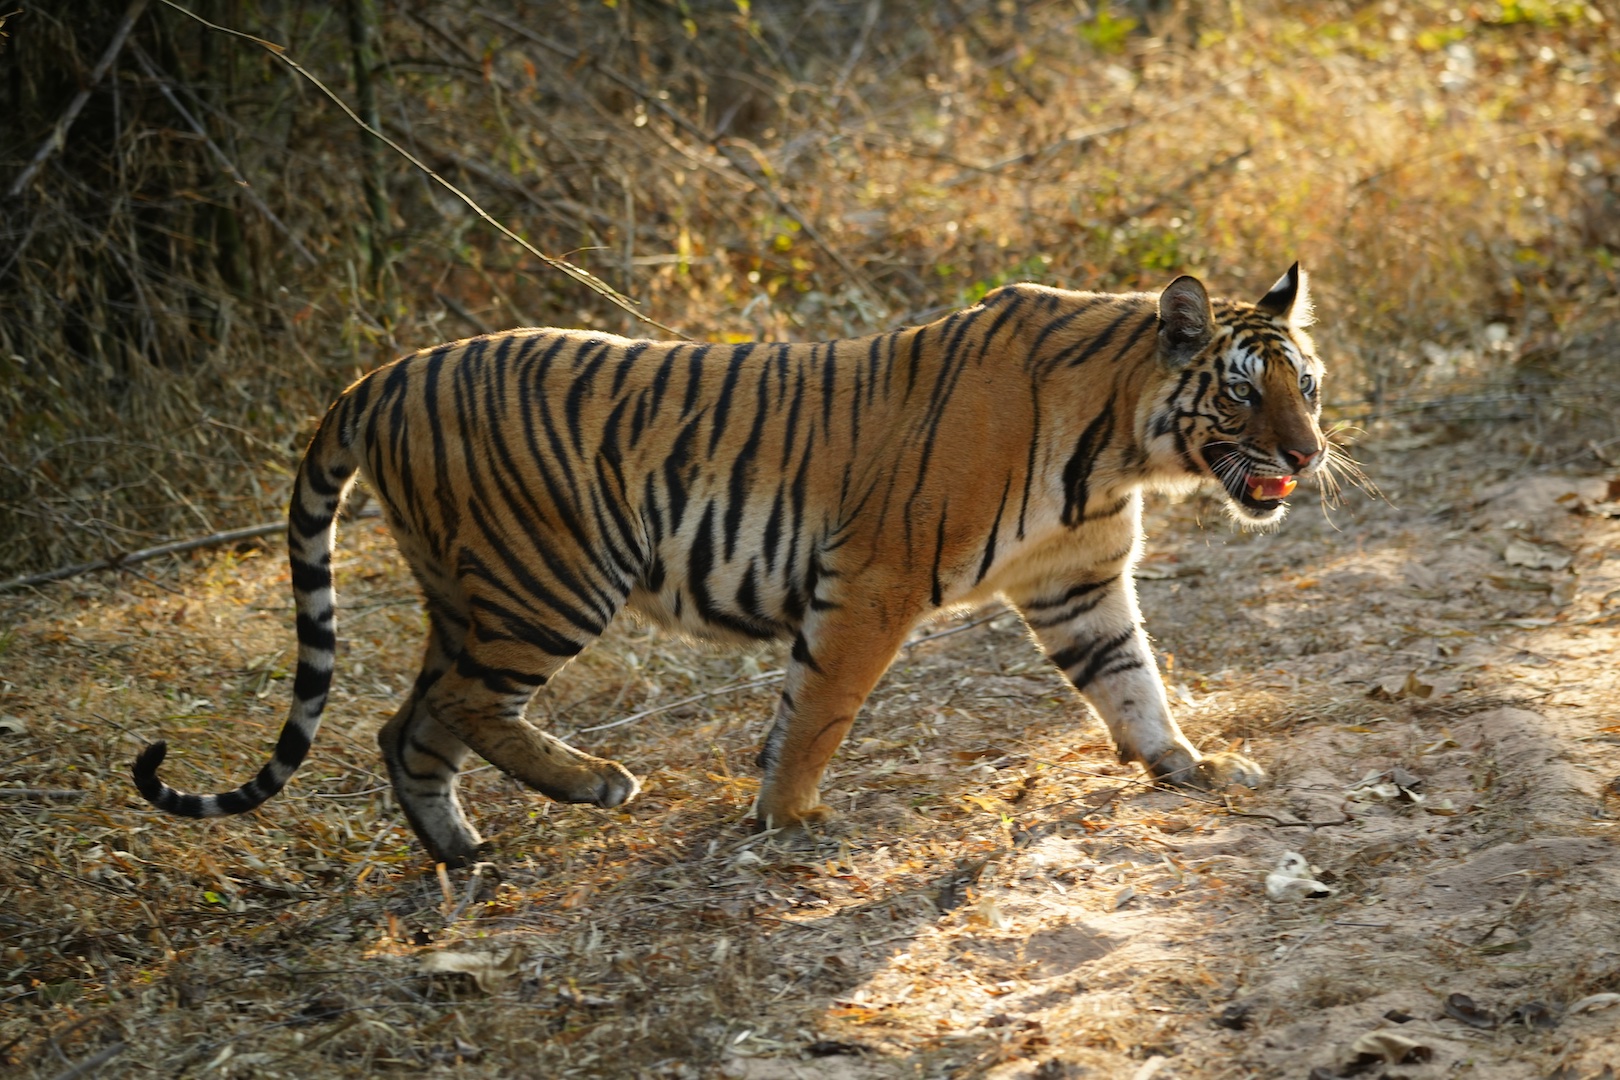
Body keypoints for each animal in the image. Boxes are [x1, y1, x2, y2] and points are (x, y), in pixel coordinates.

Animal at [133, 264, 1328, 867]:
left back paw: (461, 849)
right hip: (549, 579)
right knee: (462, 706)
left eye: (1304, 385)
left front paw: (1187, 763)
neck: (1121, 448)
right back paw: (595, 783)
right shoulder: (874, 580)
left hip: (470, 591)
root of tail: (378, 377)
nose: (1311, 455)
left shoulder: (1076, 583)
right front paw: (789, 818)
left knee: (408, 724)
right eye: (1239, 392)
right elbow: (820, 708)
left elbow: (1132, 680)